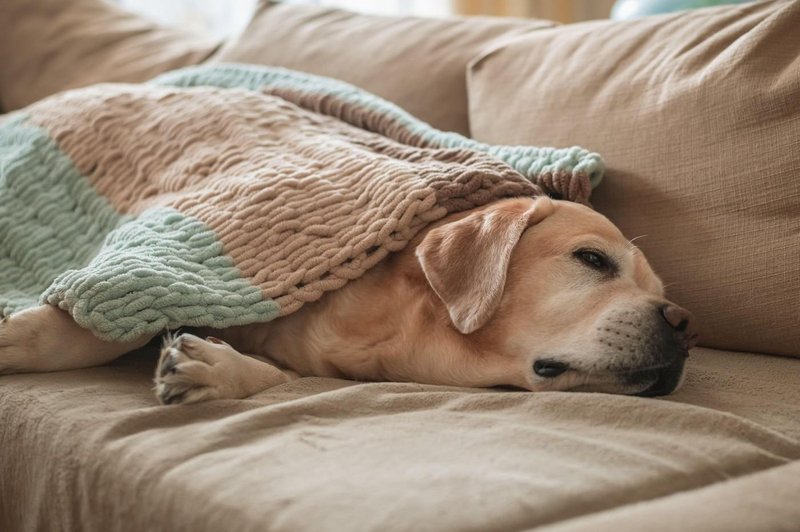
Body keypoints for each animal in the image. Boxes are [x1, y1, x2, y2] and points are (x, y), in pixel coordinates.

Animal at [0, 195, 692, 404]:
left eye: (663, 294)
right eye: (593, 260)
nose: (684, 323)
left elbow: (277, 375)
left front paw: (216, 369)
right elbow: (80, 331)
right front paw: (18, 334)